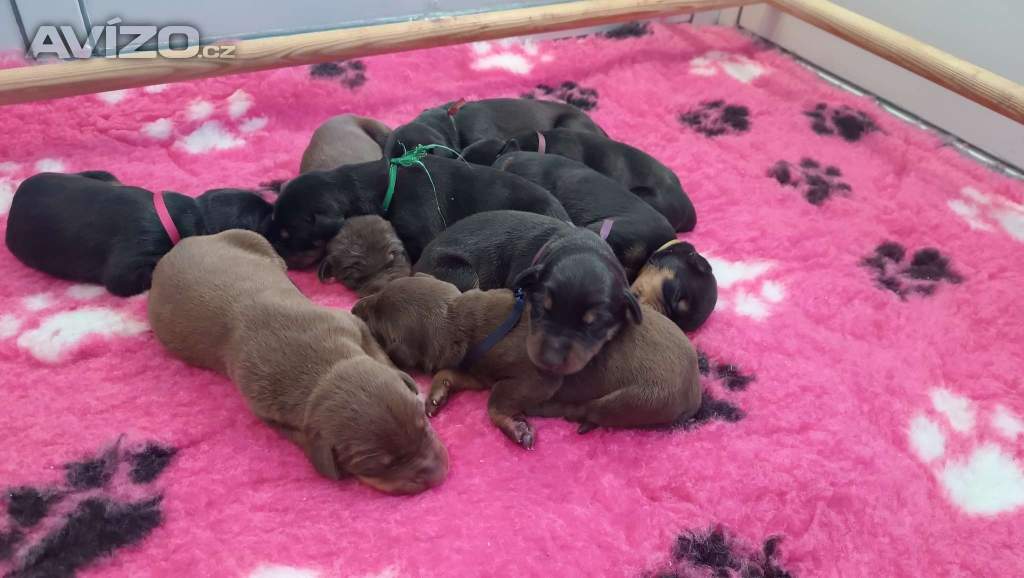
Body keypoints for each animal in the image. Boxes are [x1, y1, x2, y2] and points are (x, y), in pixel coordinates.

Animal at [148, 230, 448, 495]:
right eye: (380, 465)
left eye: (423, 426)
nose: (437, 476)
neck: (322, 366)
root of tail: (176, 247)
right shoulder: (263, 407)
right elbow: (297, 433)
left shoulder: (348, 323)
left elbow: (378, 351)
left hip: (253, 238)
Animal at [352, 275, 701, 448]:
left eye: (377, 324)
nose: (354, 307)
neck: (466, 320)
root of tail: (696, 391)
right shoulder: (479, 372)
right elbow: (451, 374)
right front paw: (436, 396)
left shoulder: (536, 379)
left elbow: (495, 401)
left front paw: (515, 427)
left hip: (633, 398)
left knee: (593, 411)